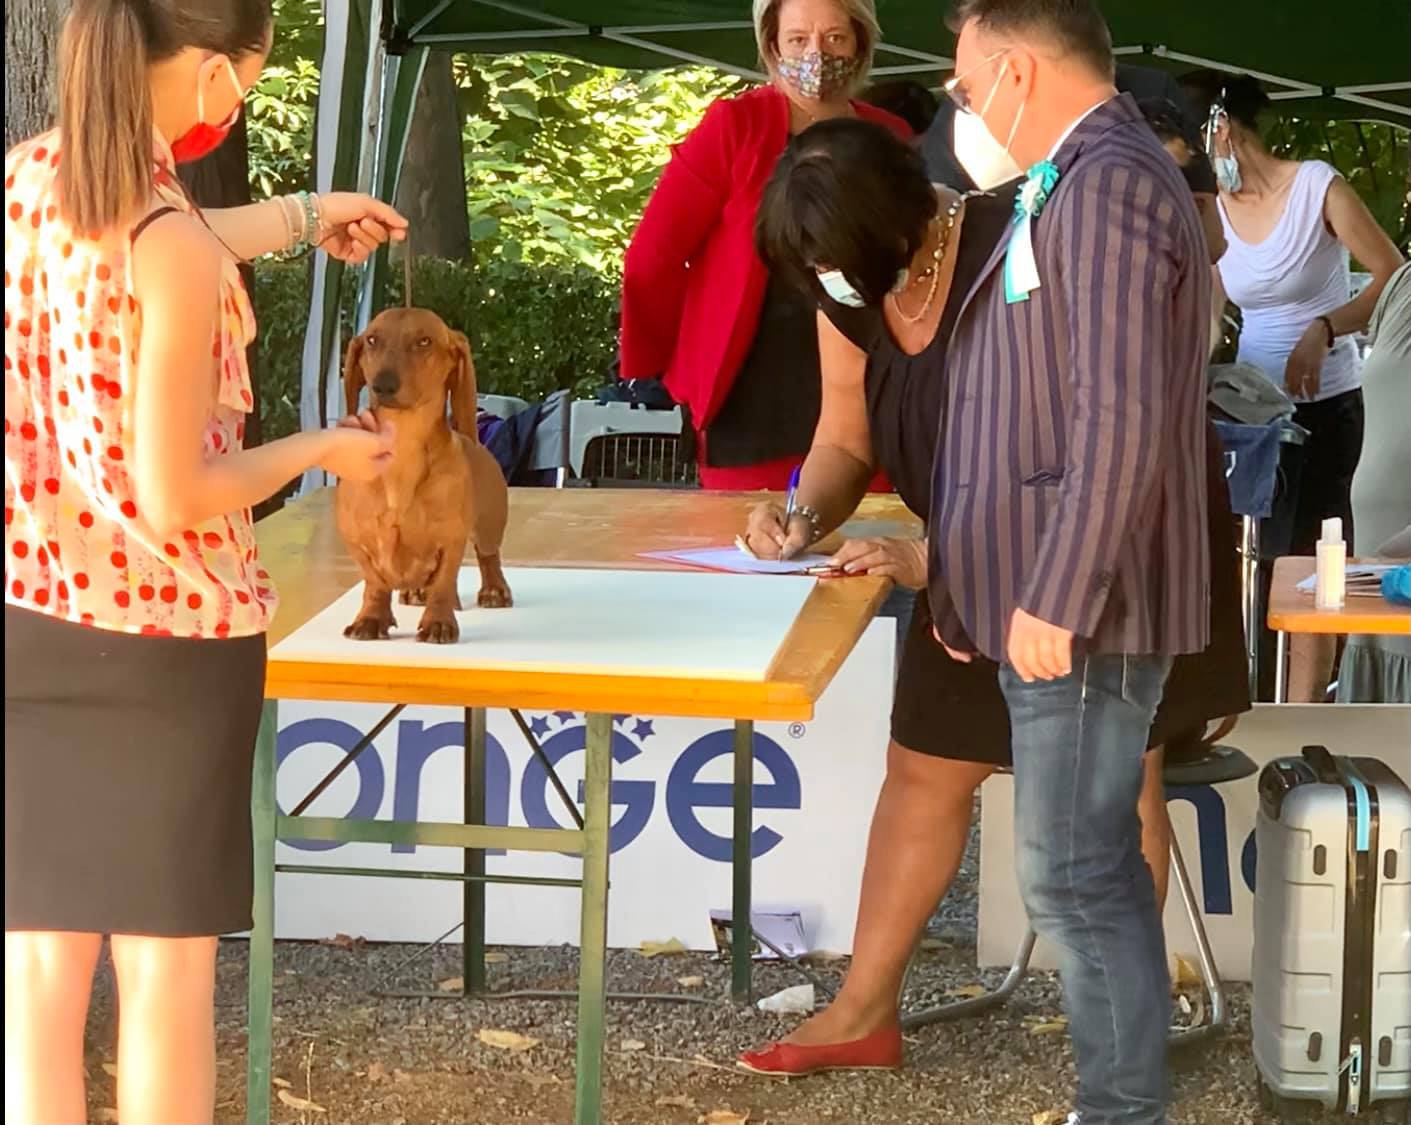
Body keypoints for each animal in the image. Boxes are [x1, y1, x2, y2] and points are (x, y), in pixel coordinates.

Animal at [335, 307, 512, 643]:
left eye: (424, 341)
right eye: (372, 340)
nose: (383, 385)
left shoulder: (451, 539)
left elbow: (443, 582)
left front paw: (438, 623)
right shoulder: (356, 538)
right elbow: (374, 582)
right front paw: (370, 619)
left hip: (488, 528)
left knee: (488, 557)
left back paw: (494, 591)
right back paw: (416, 593)